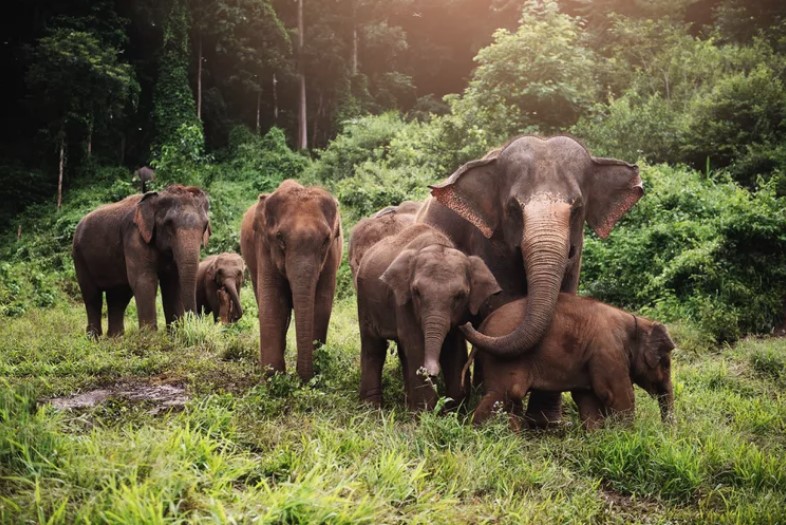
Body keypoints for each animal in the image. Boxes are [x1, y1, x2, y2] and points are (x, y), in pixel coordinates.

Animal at [71, 184, 210, 336]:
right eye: (168, 224)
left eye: (205, 225)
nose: (195, 327)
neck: (157, 197)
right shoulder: (134, 238)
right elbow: (145, 281)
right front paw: (150, 338)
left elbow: (173, 284)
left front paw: (175, 335)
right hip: (79, 257)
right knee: (92, 295)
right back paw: (94, 337)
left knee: (118, 296)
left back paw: (115, 338)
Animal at [240, 178, 342, 378]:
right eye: (280, 238)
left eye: (326, 240)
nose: (304, 378)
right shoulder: (265, 247)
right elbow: (273, 303)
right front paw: (273, 376)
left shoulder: (330, 255)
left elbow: (321, 304)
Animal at [356, 221, 500, 410]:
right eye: (416, 292)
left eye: (460, 296)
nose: (431, 372)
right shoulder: (403, 302)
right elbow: (416, 344)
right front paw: (426, 412)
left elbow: (454, 347)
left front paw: (454, 410)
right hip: (364, 299)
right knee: (374, 346)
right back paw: (372, 409)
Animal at [420, 135, 640, 426]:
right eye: (513, 208)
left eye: (578, 207)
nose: (466, 323)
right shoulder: (490, 242)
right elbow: (502, 303)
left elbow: (564, 299)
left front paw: (547, 424)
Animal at [466, 292, 672, 428]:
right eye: (665, 363)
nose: (666, 432)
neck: (635, 321)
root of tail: (484, 323)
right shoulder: (608, 351)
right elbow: (619, 395)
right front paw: (627, 435)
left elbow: (588, 398)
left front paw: (599, 437)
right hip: (503, 360)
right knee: (505, 393)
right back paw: (480, 433)